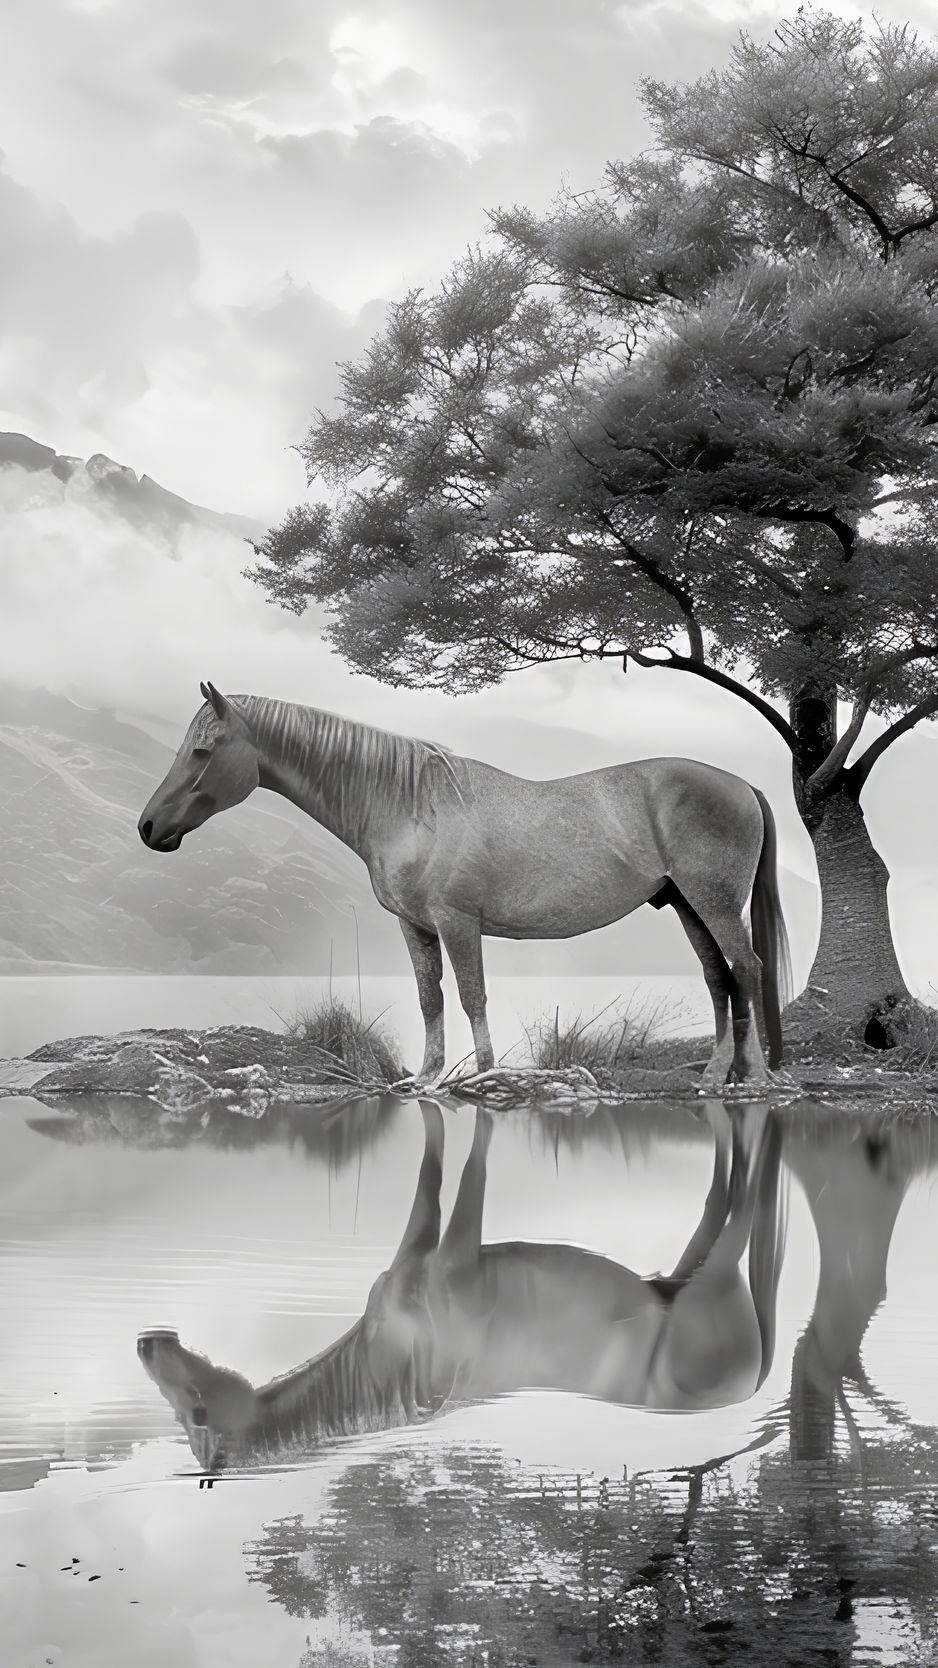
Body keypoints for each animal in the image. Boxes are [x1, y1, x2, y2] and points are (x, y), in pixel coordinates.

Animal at [137, 682, 792, 1087]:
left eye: (203, 750)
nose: (149, 828)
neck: (408, 806)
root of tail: (743, 784)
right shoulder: (415, 926)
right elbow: (431, 997)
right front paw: (426, 1077)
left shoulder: (457, 922)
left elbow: (472, 994)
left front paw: (481, 1075)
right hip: (687, 904)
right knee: (719, 976)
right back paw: (716, 1075)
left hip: (714, 903)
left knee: (747, 968)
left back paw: (754, 1077)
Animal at [137, 1100, 788, 1474]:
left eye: (197, 1413)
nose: (146, 1342)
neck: (382, 1372)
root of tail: (750, 1384)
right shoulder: (421, 1243)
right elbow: (433, 1175)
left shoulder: (455, 1260)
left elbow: (470, 1170)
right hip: (686, 1270)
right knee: (722, 1197)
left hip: (716, 1277)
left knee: (747, 1200)